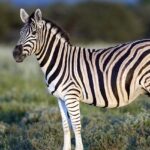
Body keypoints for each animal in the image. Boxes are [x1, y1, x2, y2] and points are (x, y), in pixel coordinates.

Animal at [12, 8, 150, 149]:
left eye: (34, 33)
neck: (61, 61)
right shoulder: (60, 98)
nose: (16, 54)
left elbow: (76, 126)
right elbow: (65, 126)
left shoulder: (71, 96)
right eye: (20, 33)